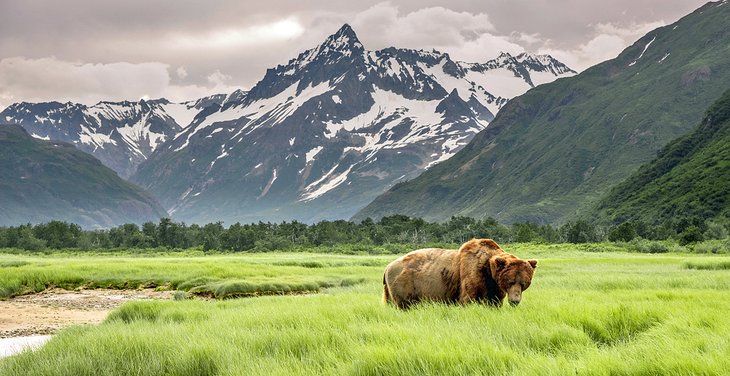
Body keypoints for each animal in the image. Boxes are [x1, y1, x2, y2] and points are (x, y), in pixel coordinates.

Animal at [382, 238, 536, 308]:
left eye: (523, 283)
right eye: (510, 281)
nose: (515, 301)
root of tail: (387, 267)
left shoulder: (493, 287)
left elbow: (494, 301)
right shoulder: (471, 274)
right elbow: (467, 299)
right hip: (405, 283)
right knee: (404, 304)